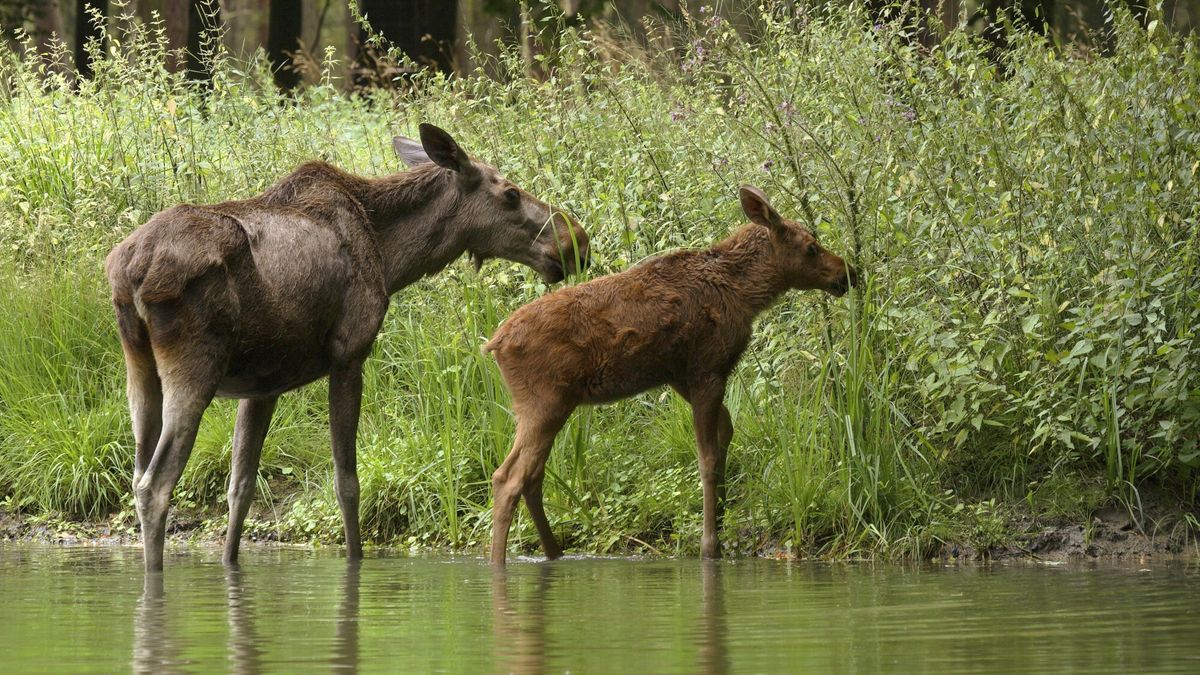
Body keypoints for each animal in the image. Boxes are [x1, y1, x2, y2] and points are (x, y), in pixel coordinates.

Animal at [105, 123, 590, 572]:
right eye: (510, 193)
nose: (576, 240)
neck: (391, 257)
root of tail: (128, 271)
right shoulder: (349, 354)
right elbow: (347, 483)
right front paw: (356, 561)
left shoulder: (262, 386)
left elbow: (239, 487)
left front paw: (231, 565)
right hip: (194, 368)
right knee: (154, 485)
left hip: (139, 373)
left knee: (138, 474)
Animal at [483, 185, 858, 564]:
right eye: (811, 247)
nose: (849, 272)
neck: (744, 294)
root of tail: (496, 344)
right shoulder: (706, 369)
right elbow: (707, 457)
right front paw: (710, 544)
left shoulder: (680, 376)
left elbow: (726, 431)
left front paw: (723, 517)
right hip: (545, 402)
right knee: (508, 478)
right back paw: (500, 562)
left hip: (544, 406)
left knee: (531, 476)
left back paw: (554, 553)